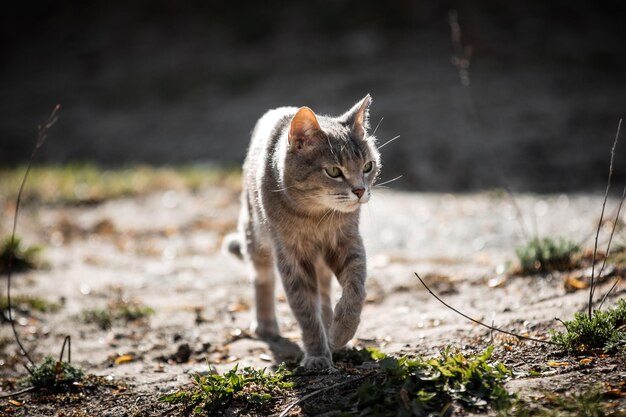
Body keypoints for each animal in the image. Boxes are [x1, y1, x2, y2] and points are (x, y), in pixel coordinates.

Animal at [225, 95, 380, 368]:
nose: (360, 190)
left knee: (325, 293)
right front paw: (317, 354)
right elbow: (305, 309)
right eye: (334, 171)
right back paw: (266, 324)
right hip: (255, 237)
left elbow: (355, 289)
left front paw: (341, 331)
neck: (316, 216)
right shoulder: (291, 255)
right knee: (262, 278)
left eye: (368, 166)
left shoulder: (347, 243)